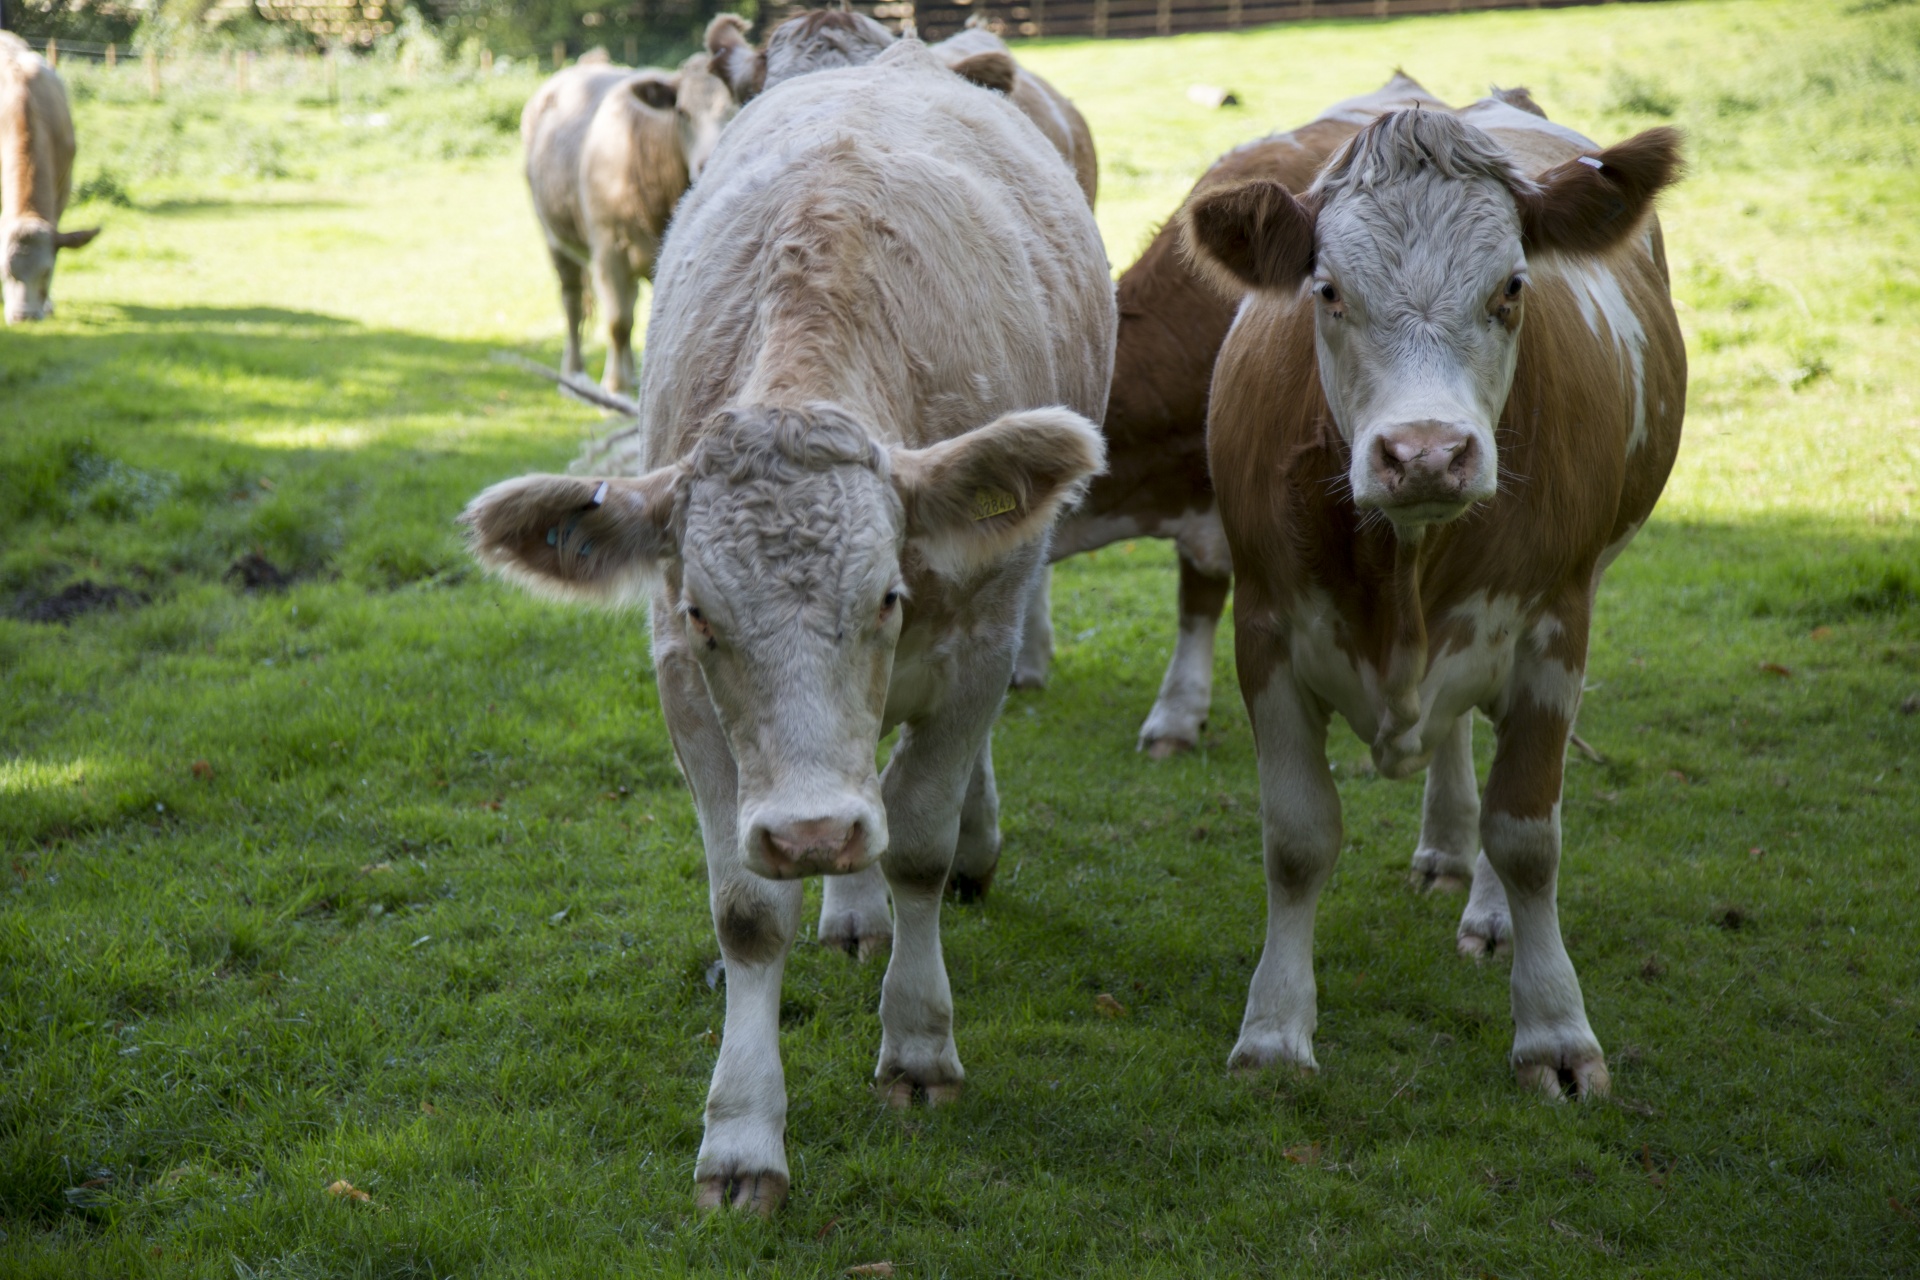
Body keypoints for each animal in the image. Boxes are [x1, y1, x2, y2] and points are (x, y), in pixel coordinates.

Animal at [522, 53, 729, 395]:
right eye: (682, 112)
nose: (710, 162)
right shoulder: (609, 251)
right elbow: (618, 322)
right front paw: (614, 387)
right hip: (554, 237)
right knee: (573, 303)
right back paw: (574, 374)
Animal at [1182, 102, 1681, 1105]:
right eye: (1328, 291)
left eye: (1512, 288)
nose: (1425, 454)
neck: (1401, 562)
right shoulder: (1265, 628)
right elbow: (1297, 838)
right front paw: (1274, 1031)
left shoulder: (1553, 628)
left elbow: (1527, 834)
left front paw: (1554, 1032)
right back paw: (1447, 849)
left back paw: (1488, 908)